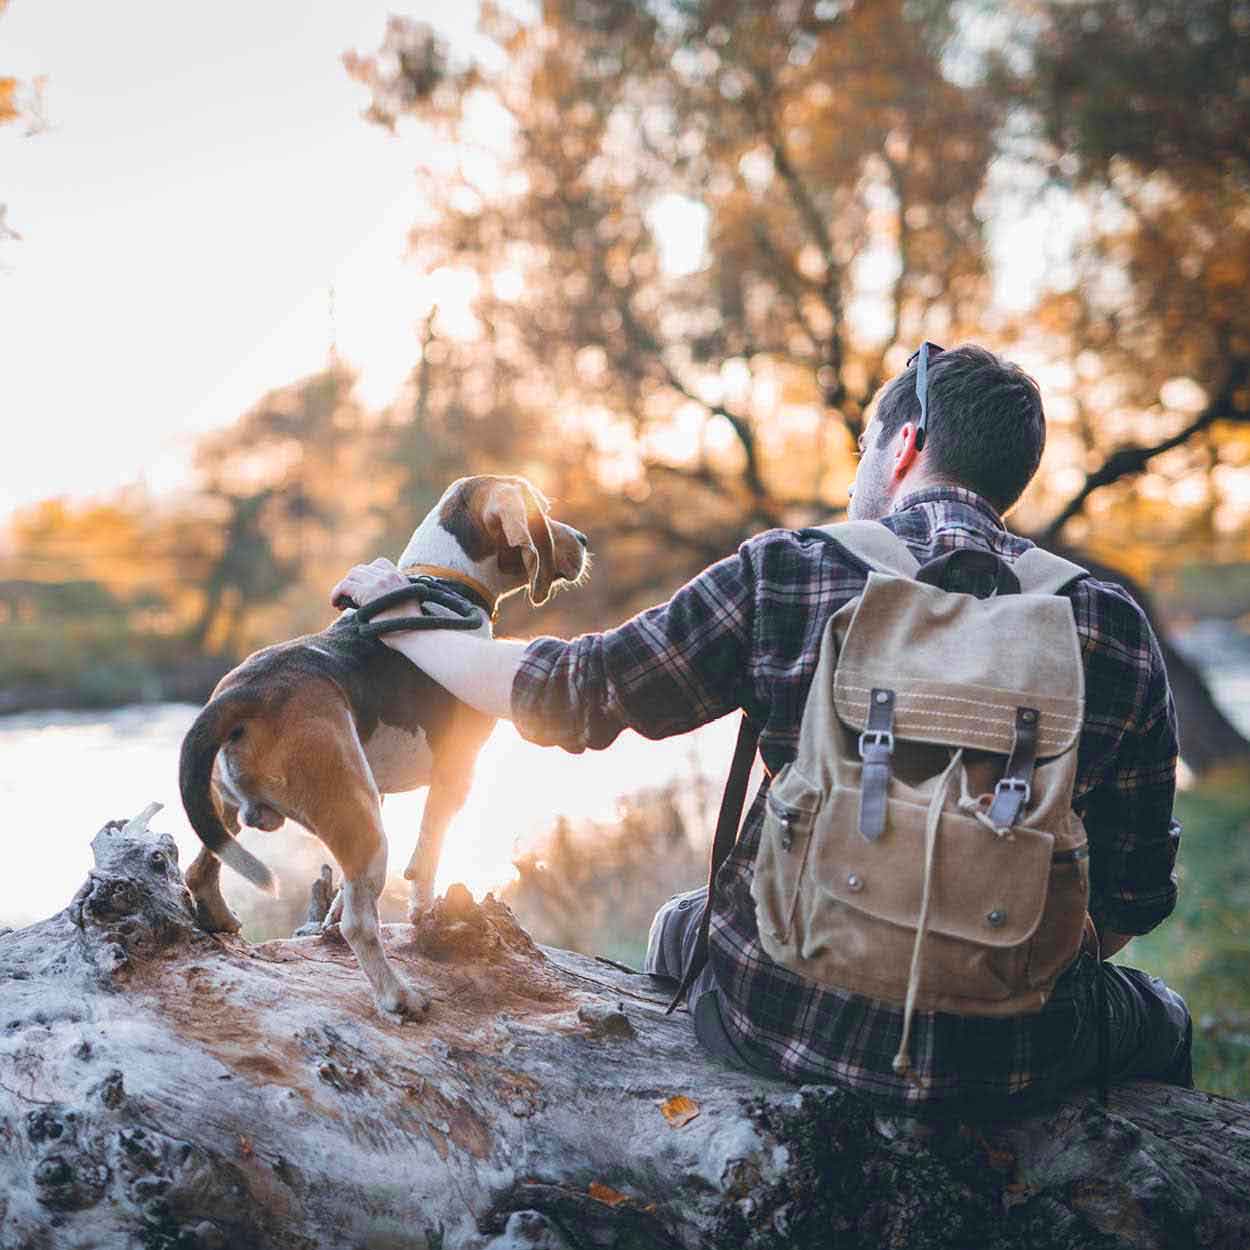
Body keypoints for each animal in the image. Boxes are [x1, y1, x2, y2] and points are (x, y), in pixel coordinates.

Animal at [178, 472, 587, 1020]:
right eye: (543, 509)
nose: (583, 539)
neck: (444, 580)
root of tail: (244, 693)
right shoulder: (457, 772)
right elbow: (427, 855)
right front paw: (424, 913)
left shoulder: (379, 791)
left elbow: (348, 895)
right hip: (363, 824)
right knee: (361, 925)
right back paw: (397, 995)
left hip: (258, 809)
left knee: (201, 871)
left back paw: (219, 919)